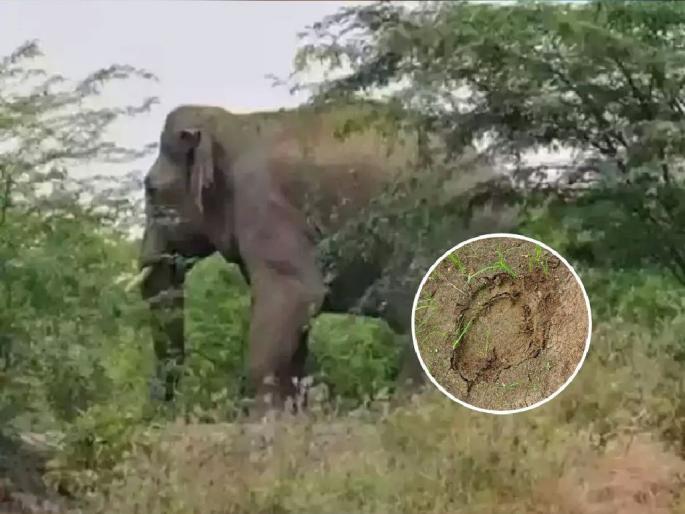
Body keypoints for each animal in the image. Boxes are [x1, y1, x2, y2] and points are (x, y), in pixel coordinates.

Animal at [136, 102, 505, 413]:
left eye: (149, 189)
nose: (167, 410)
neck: (231, 124)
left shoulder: (265, 205)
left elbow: (292, 295)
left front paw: (264, 420)